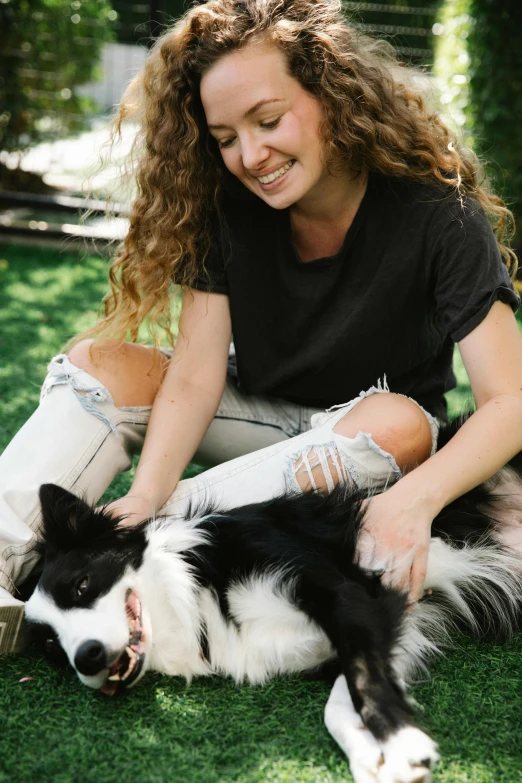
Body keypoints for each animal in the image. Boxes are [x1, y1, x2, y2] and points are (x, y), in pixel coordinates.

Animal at [25, 422, 522, 783]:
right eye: (50, 647)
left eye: (83, 585)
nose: (86, 657)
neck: (197, 589)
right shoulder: (378, 622)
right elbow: (343, 700)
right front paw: (376, 758)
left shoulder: (348, 589)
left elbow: (364, 681)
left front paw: (402, 743)